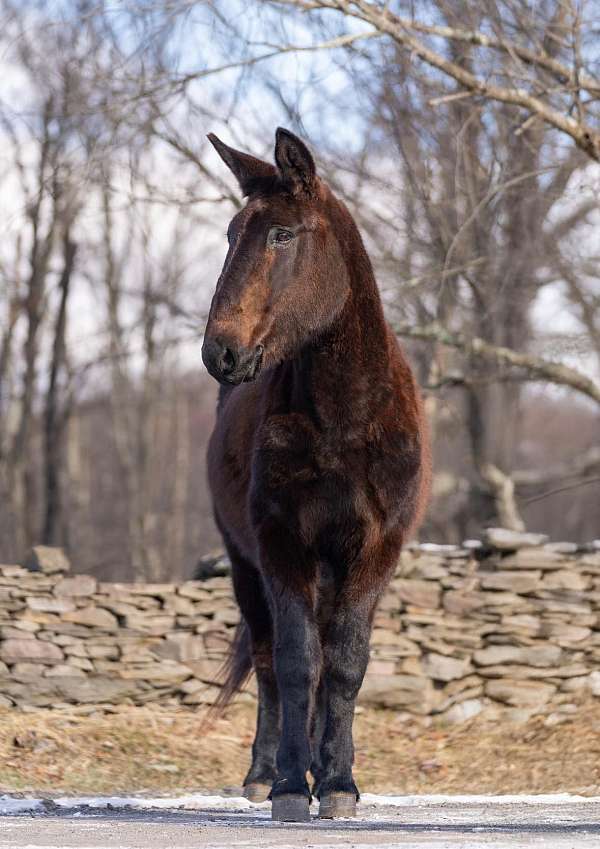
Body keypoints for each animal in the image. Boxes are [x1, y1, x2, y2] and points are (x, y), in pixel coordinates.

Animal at [204, 127, 428, 820]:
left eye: (282, 235)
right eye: (230, 234)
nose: (220, 352)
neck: (344, 418)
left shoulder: (375, 549)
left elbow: (346, 665)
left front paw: (337, 785)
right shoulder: (282, 547)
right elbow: (298, 663)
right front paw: (287, 787)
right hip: (245, 568)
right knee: (268, 662)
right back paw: (263, 773)